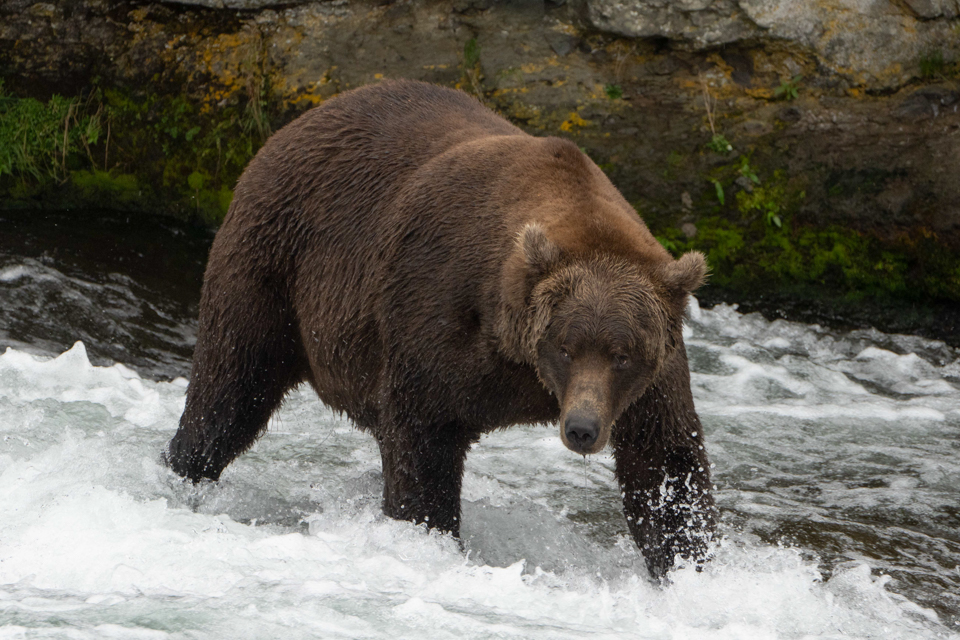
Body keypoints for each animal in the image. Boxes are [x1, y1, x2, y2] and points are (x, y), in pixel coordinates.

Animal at [166, 79, 715, 578]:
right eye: (565, 346)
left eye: (622, 354)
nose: (582, 428)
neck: (518, 360)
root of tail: (298, 121)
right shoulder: (435, 312)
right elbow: (423, 440)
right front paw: (429, 533)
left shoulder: (651, 380)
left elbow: (664, 465)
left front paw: (690, 566)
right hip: (273, 265)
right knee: (232, 387)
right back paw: (186, 468)